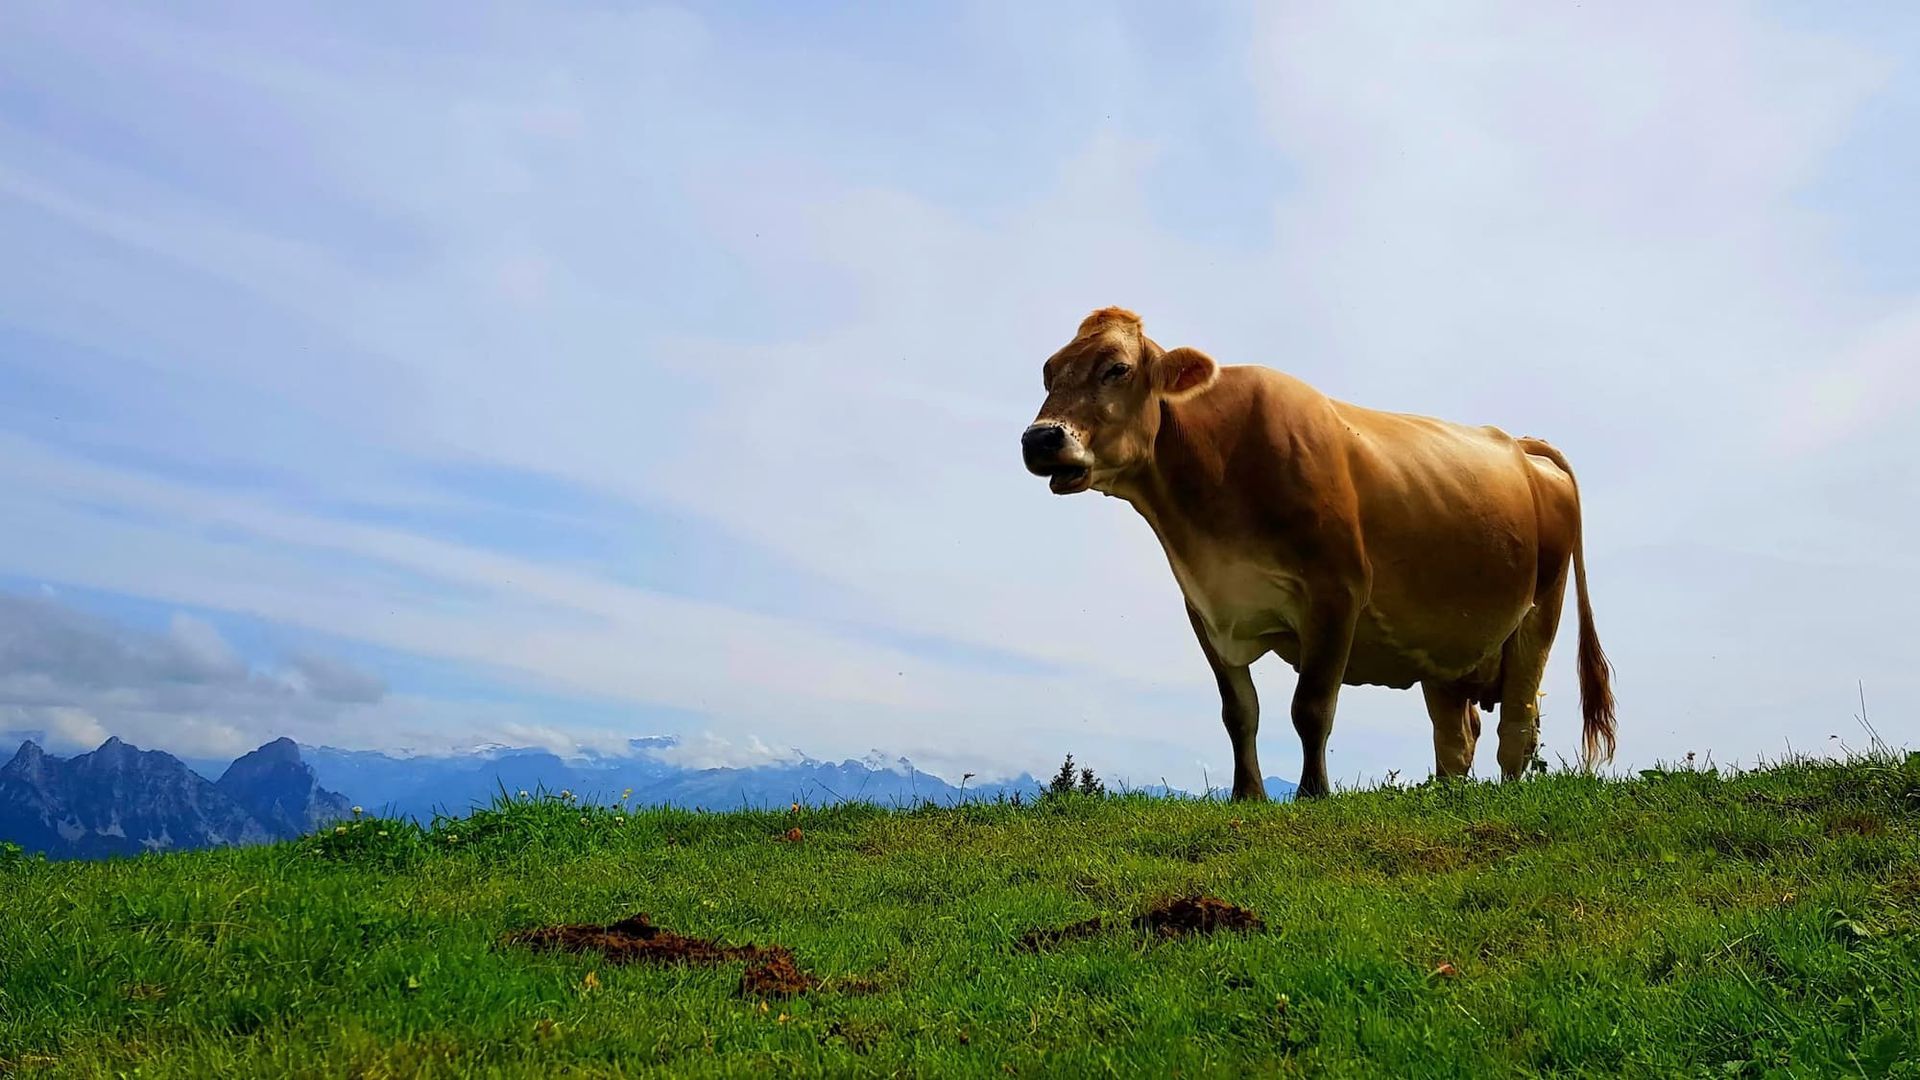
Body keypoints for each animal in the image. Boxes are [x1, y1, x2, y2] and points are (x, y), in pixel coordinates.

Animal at [1021, 306, 1615, 799]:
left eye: (1116, 369)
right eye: (1049, 372)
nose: (1039, 439)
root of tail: (1520, 442)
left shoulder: (1335, 593)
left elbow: (1310, 707)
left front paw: (1312, 794)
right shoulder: (1207, 607)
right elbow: (1239, 712)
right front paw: (1248, 796)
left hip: (1540, 612)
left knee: (1517, 721)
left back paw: (1508, 794)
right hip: (1445, 645)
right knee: (1455, 734)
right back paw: (1448, 796)